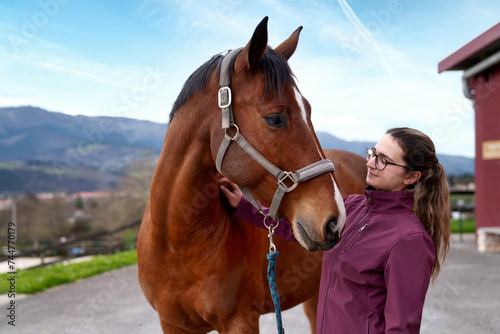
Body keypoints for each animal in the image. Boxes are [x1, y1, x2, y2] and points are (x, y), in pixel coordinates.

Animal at [139, 17, 366, 332]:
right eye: (275, 119)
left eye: (309, 111)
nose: (336, 221)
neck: (177, 244)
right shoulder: (171, 324)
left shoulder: (241, 320)